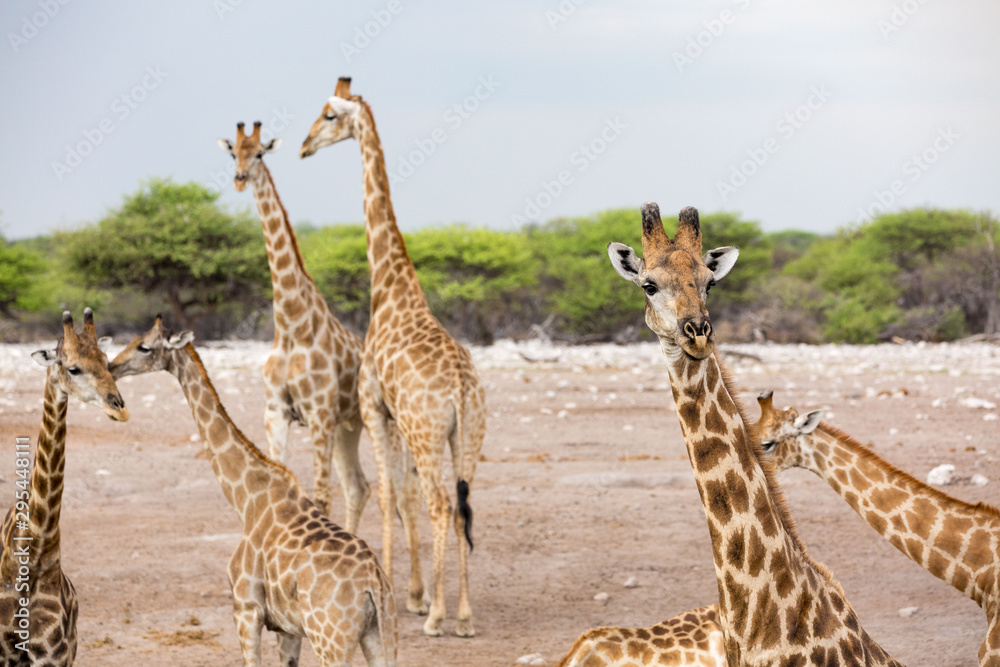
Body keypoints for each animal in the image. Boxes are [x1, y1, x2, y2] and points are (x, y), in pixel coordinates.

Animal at [109, 317, 396, 667]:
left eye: (144, 347)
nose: (112, 366)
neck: (246, 500)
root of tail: (374, 583)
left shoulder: (246, 609)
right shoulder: (288, 628)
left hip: (331, 641)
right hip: (379, 635)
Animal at [218, 121, 368, 531]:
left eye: (259, 153)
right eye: (233, 152)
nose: (240, 179)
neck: (290, 325)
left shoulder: (319, 415)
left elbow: (321, 497)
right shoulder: (276, 413)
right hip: (349, 427)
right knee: (359, 486)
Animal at [300, 77, 486, 637]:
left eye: (329, 115)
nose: (304, 146)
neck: (388, 289)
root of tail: (461, 389)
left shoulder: (375, 408)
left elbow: (387, 494)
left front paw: (411, 595)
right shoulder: (397, 420)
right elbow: (402, 496)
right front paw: (416, 594)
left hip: (429, 433)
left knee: (442, 503)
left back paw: (444, 617)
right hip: (467, 435)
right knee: (463, 505)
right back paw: (464, 615)